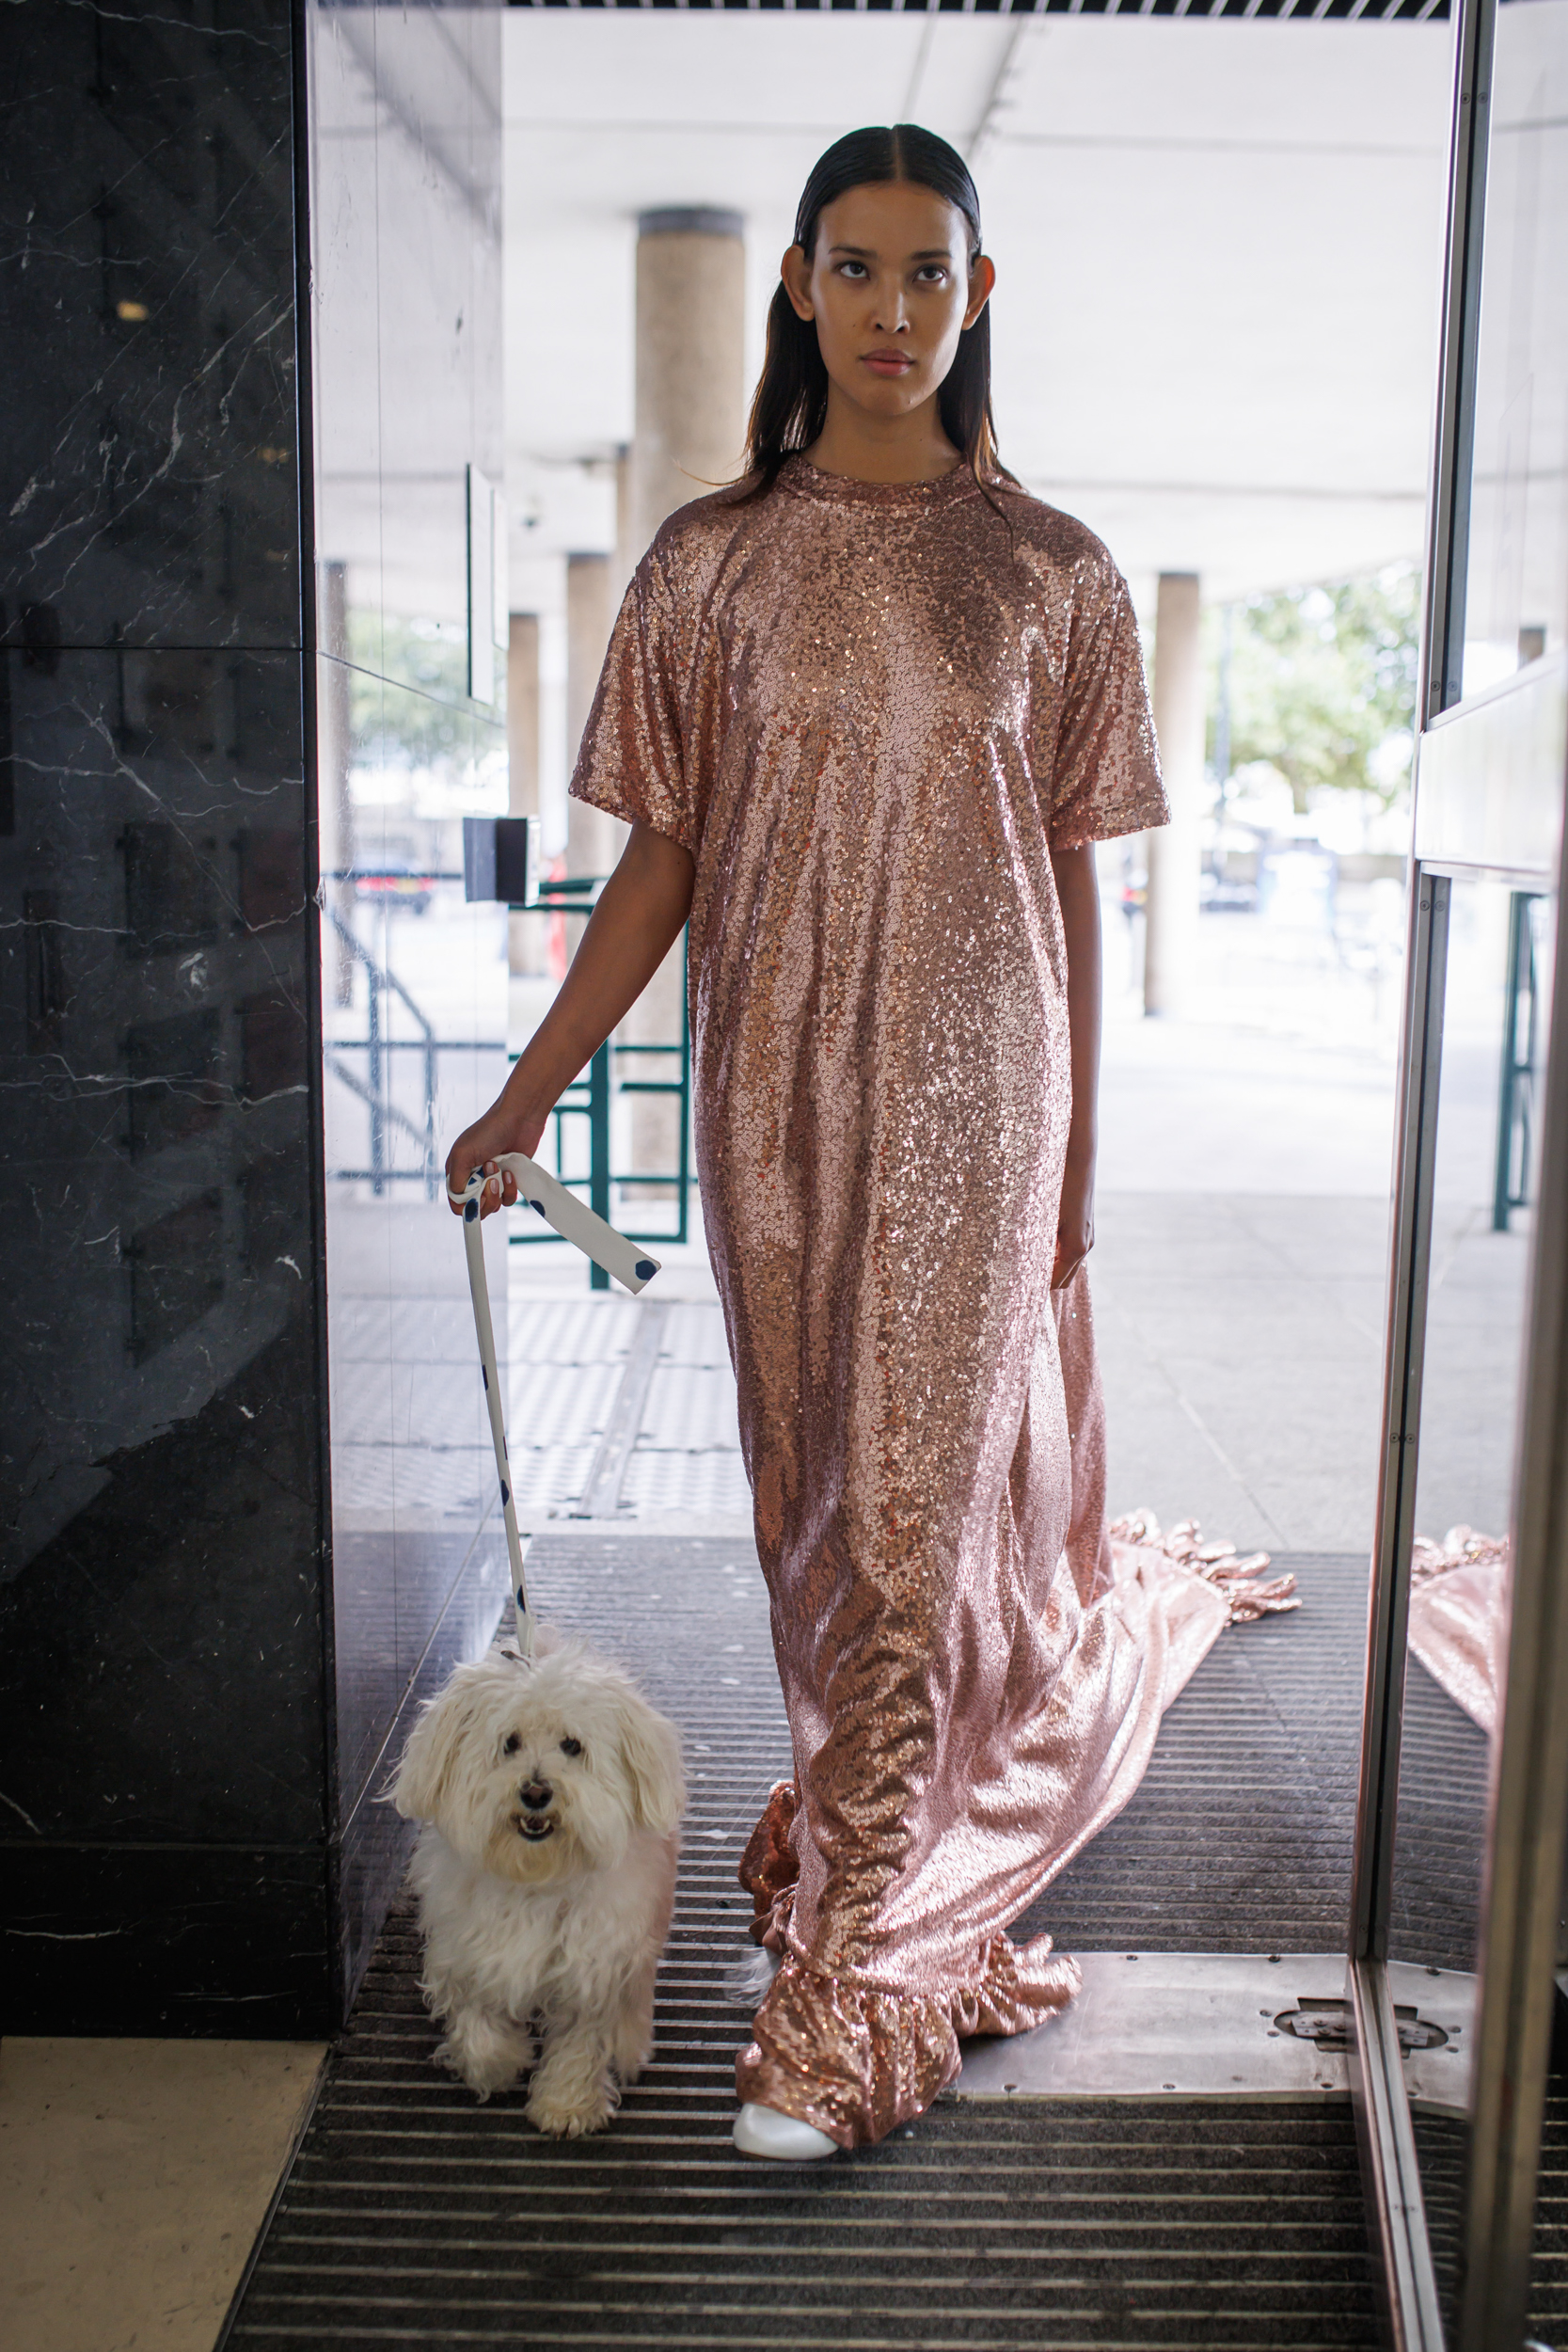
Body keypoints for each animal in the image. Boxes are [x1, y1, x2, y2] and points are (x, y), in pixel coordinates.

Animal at [389, 1637, 681, 2136]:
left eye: (572, 1745)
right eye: (509, 1743)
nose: (536, 1791)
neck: (536, 1881)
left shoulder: (593, 1970)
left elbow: (580, 2044)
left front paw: (566, 2107)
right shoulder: (467, 1952)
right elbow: (478, 2023)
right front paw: (499, 2065)